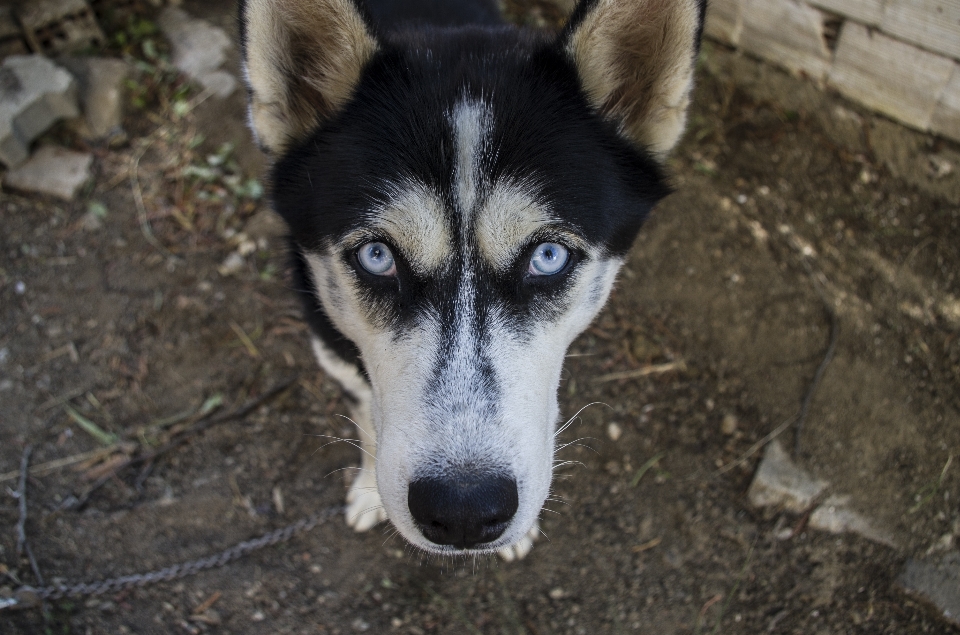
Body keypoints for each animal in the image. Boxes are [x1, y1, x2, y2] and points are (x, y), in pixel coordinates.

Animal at [240, 0, 704, 556]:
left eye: (548, 256)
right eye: (377, 255)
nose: (464, 512)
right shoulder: (340, 359)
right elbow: (370, 425)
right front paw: (371, 491)